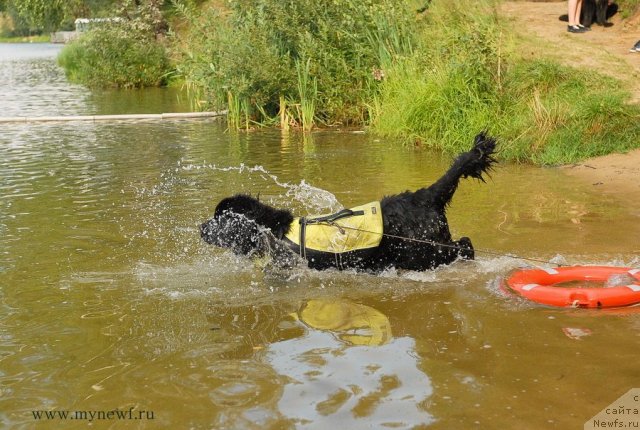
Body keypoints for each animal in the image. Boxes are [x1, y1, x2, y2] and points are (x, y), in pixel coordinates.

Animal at [200, 132, 496, 272]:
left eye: (217, 220)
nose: (200, 227)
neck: (272, 231)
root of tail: (426, 195)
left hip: (423, 251)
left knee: (464, 246)